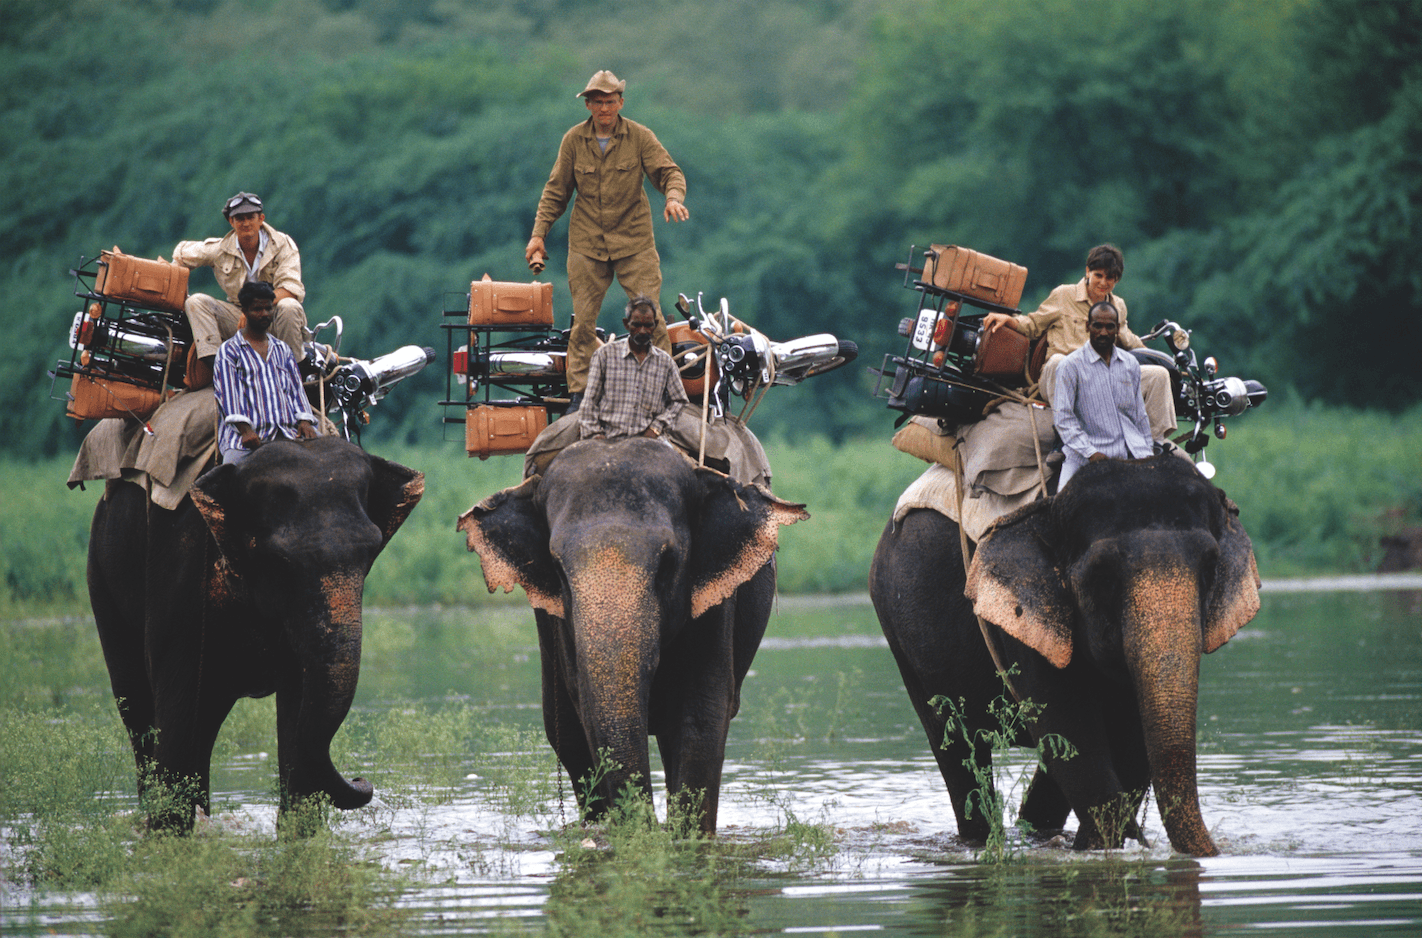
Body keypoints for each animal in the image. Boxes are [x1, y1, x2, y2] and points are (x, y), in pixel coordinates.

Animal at [86, 434, 420, 829]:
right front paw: (168, 834)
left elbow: (297, 701)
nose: (362, 779)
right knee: (140, 709)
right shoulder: (179, 563)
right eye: (280, 560)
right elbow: (177, 699)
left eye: (370, 551)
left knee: (206, 718)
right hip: (101, 577)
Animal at [457, 434, 807, 829]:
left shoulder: (715, 602)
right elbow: (588, 711)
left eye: (668, 564)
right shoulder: (560, 625)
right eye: (558, 569)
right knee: (568, 736)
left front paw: (685, 837)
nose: (646, 824)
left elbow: (702, 713)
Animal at [870, 454, 1262, 858]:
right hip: (896, 626)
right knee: (958, 747)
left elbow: (1127, 737)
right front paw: (1106, 845)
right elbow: (1072, 728)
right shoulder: (1023, 616)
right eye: (1102, 575)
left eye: (1211, 566)